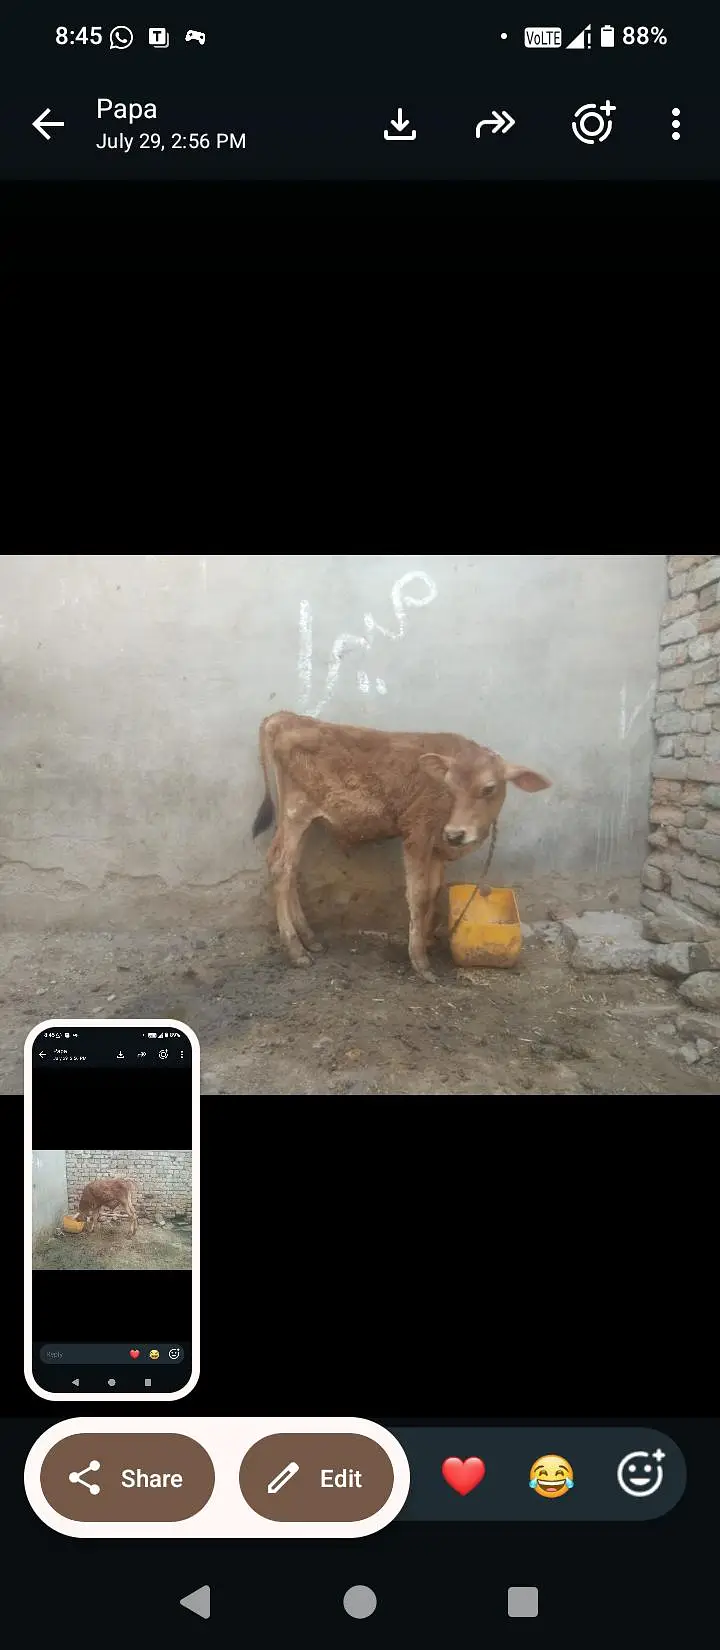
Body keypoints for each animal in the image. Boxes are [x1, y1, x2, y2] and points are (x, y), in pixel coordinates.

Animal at [251, 711, 551, 982]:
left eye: (489, 788)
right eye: (450, 787)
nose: (456, 834)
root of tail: (285, 717)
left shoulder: (437, 845)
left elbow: (434, 890)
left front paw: (427, 940)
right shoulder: (417, 832)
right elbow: (418, 894)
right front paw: (420, 961)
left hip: (298, 820)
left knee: (290, 868)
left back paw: (309, 938)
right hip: (296, 811)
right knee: (280, 866)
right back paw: (295, 950)